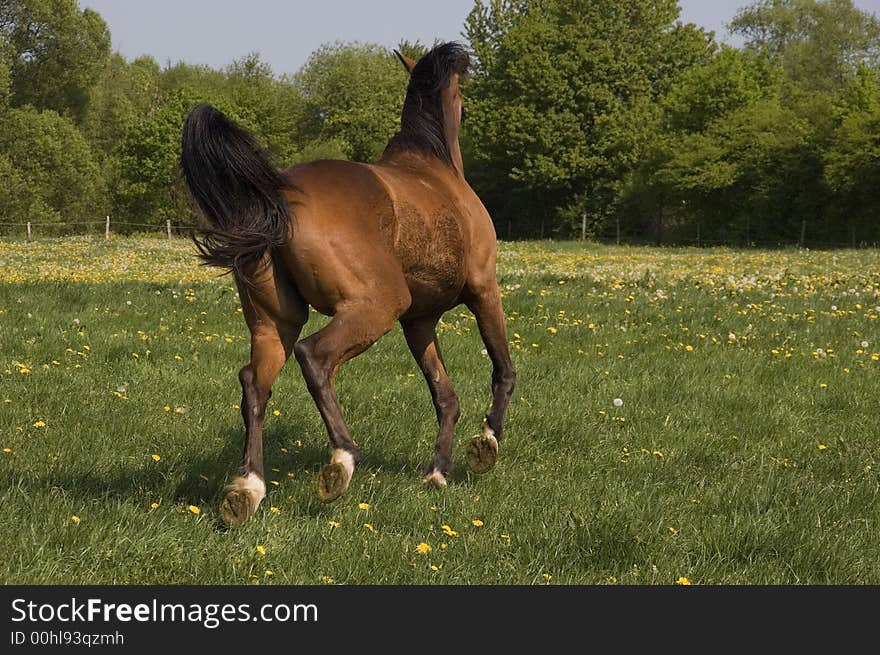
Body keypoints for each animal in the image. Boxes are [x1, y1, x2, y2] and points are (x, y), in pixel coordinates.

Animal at [183, 42, 520, 528]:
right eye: (464, 101)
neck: (435, 168)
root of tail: (280, 198)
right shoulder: (483, 289)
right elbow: (502, 370)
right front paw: (485, 444)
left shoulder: (419, 321)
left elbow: (445, 395)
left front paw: (438, 472)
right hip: (375, 307)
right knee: (314, 358)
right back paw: (341, 460)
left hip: (276, 324)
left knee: (254, 384)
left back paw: (248, 489)